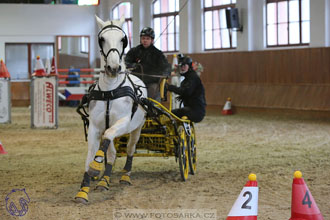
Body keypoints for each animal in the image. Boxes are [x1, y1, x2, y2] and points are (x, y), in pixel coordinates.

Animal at [75, 15, 148, 205]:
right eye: (102, 39)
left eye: (123, 39)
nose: (114, 68)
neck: (110, 90)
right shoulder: (94, 127)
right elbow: (91, 156)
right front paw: (83, 191)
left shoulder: (123, 123)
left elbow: (107, 138)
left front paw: (96, 166)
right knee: (113, 153)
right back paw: (104, 181)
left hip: (137, 129)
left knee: (130, 149)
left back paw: (125, 176)